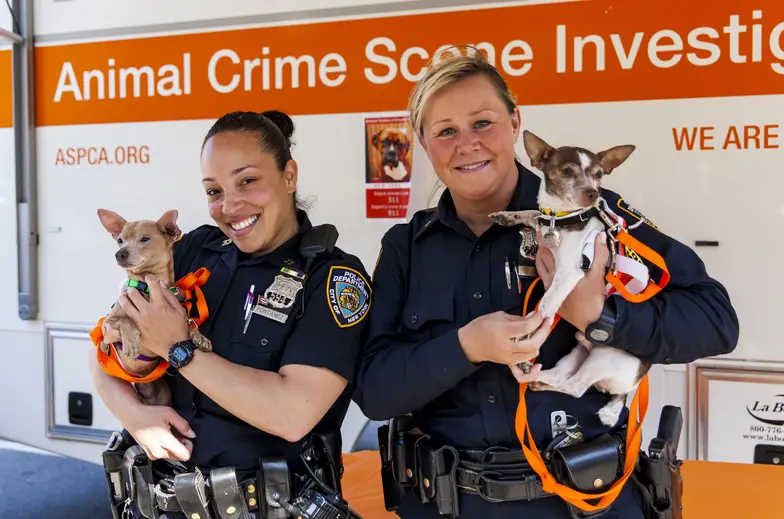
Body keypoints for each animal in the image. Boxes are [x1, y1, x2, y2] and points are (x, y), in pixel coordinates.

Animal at [97, 209, 213, 408]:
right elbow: (125, 320)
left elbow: (188, 323)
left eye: (144, 239)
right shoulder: (108, 327)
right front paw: (131, 341)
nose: (120, 253)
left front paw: (200, 336)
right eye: (120, 240)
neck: (148, 287)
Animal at [490, 130, 648, 426]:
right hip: (577, 353)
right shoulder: (543, 222)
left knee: (575, 388)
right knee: (560, 375)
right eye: (566, 171)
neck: (561, 218)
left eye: (599, 174)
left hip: (605, 356)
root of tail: (630, 387)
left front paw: (526, 334)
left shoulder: (568, 272)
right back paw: (536, 377)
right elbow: (533, 213)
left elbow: (544, 307)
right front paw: (507, 216)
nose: (593, 193)